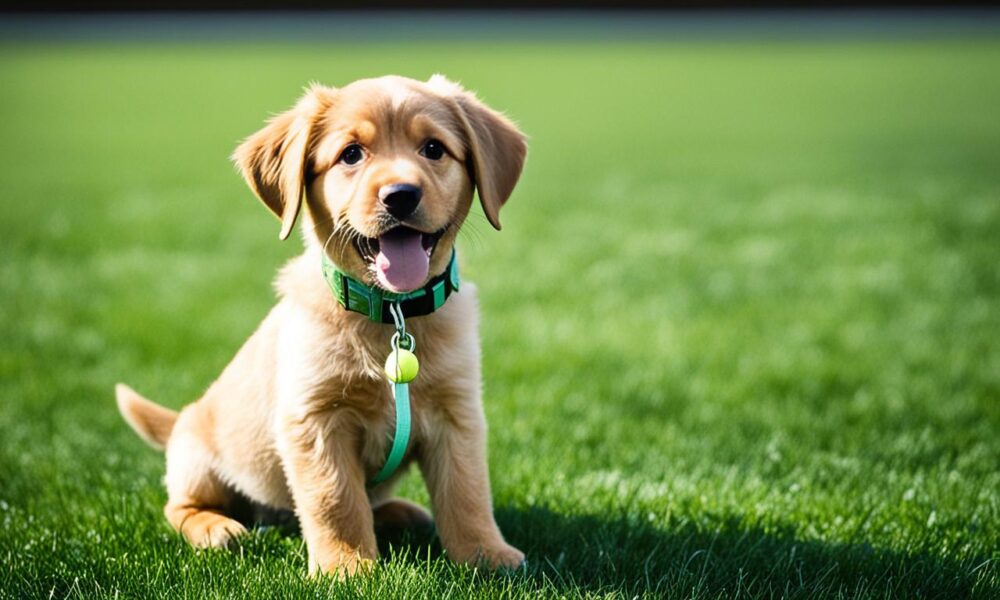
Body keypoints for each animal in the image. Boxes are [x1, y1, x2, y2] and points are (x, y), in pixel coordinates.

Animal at [114, 75, 528, 576]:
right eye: (351, 154)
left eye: (434, 148)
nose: (401, 195)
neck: (391, 314)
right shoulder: (315, 421)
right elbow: (336, 501)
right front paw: (347, 568)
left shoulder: (458, 414)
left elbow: (467, 493)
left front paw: (485, 554)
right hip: (200, 458)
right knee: (178, 506)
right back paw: (214, 527)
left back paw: (400, 513)